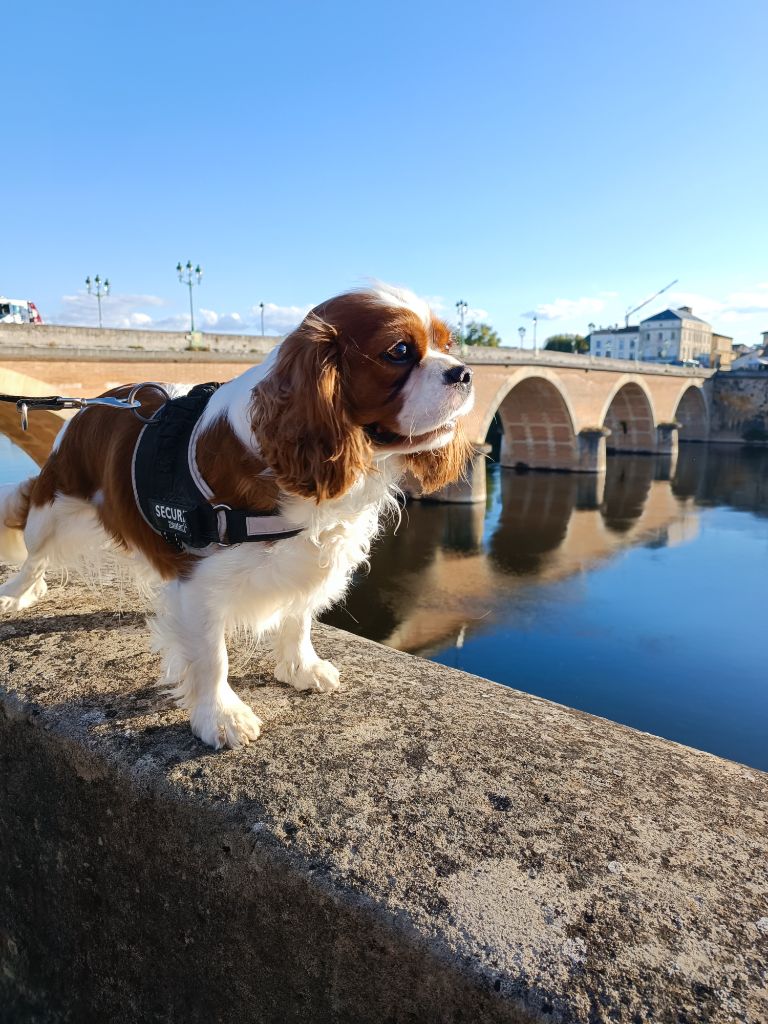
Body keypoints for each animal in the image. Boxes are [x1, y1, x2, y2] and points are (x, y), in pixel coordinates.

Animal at [0, 284, 475, 749]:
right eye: (399, 351)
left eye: (447, 345)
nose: (465, 372)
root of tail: (95, 403)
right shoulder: (198, 581)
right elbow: (212, 657)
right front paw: (220, 715)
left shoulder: (309, 559)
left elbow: (299, 617)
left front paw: (301, 666)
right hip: (52, 505)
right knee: (35, 555)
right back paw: (18, 592)